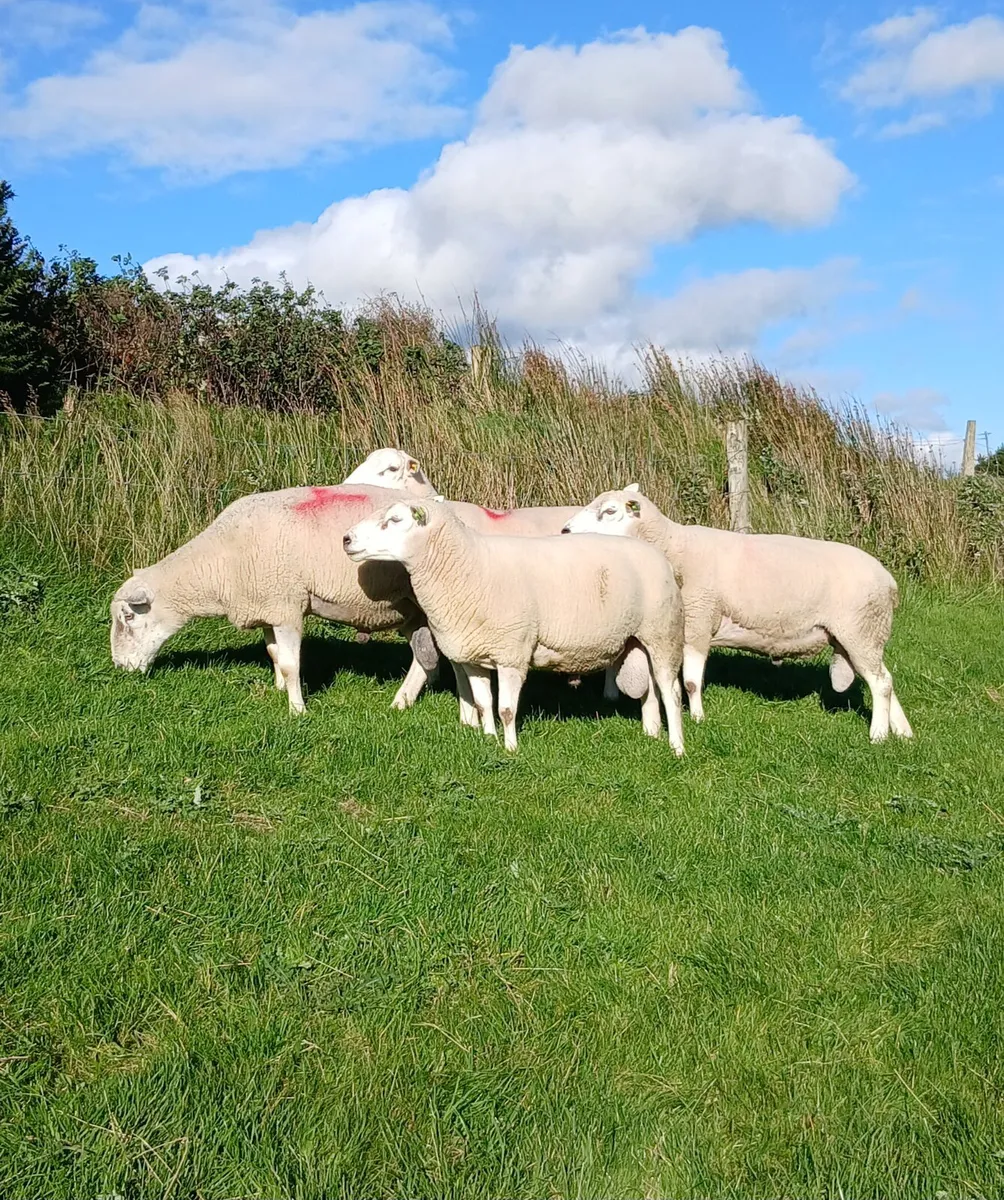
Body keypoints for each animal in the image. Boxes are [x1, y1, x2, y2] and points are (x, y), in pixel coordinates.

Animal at [110, 484, 439, 714]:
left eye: (128, 616)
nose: (120, 667)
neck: (220, 562)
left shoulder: (286, 607)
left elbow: (292, 663)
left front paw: (297, 710)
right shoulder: (268, 606)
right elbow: (275, 654)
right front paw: (280, 689)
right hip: (414, 611)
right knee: (425, 657)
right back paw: (404, 701)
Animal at [342, 499, 686, 754]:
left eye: (395, 520)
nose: (346, 539)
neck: (467, 566)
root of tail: (658, 555)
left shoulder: (512, 652)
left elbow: (506, 709)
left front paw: (510, 749)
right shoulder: (473, 655)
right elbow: (484, 704)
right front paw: (488, 738)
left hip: (663, 632)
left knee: (669, 690)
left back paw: (676, 746)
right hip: (638, 639)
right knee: (650, 689)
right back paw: (652, 732)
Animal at [562, 486, 913, 743]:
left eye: (609, 511)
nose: (565, 530)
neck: (674, 546)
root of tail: (889, 581)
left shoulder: (698, 619)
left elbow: (691, 682)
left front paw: (697, 717)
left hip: (860, 629)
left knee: (880, 682)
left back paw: (878, 734)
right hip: (864, 634)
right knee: (886, 680)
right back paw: (902, 731)